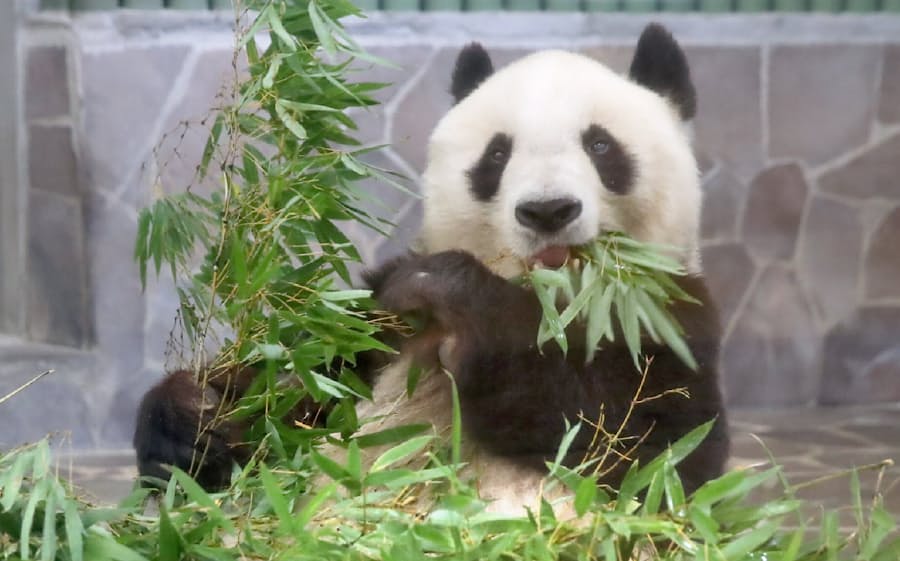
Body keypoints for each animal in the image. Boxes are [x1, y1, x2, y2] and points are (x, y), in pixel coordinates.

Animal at [134, 23, 728, 516]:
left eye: (600, 145)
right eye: (496, 156)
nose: (548, 211)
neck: (551, 305)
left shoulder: (667, 321)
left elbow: (645, 450)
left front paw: (466, 304)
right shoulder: (373, 327)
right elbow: (288, 398)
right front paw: (191, 420)